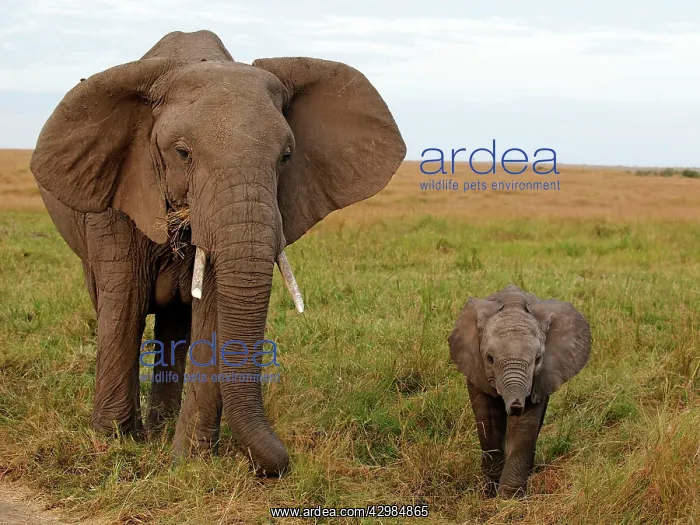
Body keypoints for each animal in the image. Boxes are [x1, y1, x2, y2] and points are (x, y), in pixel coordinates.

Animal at [29, 30, 406, 475]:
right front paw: (113, 443)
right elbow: (125, 305)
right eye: (182, 153)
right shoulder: (114, 197)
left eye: (287, 156)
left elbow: (211, 313)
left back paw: (161, 430)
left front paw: (189, 463)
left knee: (176, 324)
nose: (283, 463)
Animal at [448, 285, 591, 497]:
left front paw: (509, 497)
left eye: (538, 359)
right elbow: (488, 419)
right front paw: (491, 491)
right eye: (489, 358)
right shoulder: (476, 368)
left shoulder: (540, 378)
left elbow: (525, 425)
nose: (515, 406)